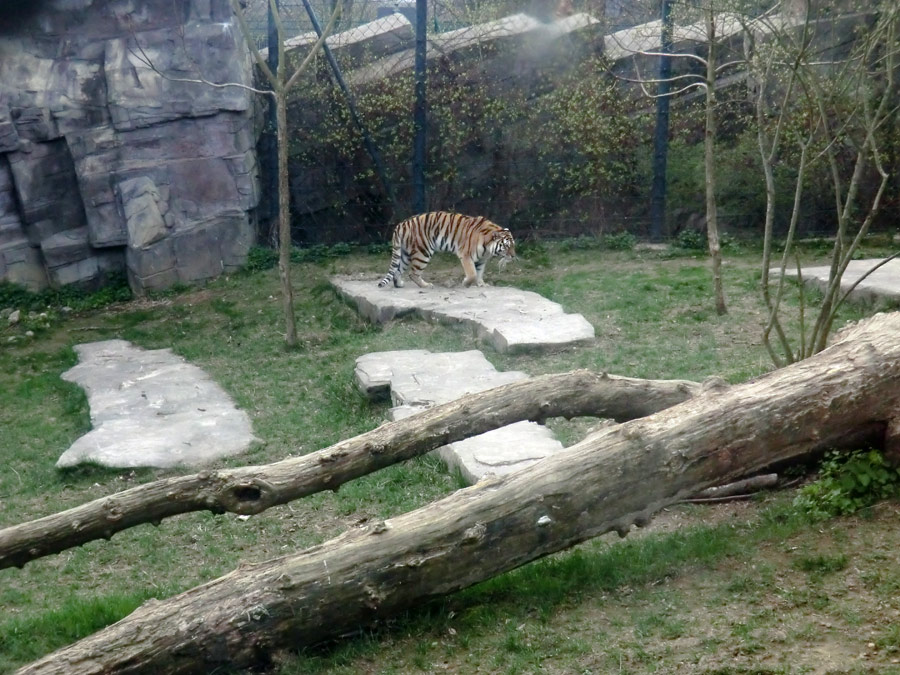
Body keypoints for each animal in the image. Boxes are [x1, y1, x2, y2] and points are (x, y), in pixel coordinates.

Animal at [376, 213, 516, 290]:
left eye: (513, 245)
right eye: (506, 246)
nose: (514, 257)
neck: (488, 248)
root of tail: (401, 224)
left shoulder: (481, 260)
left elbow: (479, 273)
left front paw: (482, 284)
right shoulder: (466, 255)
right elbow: (472, 274)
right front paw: (465, 283)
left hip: (405, 255)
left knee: (397, 270)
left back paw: (399, 284)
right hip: (423, 252)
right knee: (413, 273)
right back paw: (426, 286)